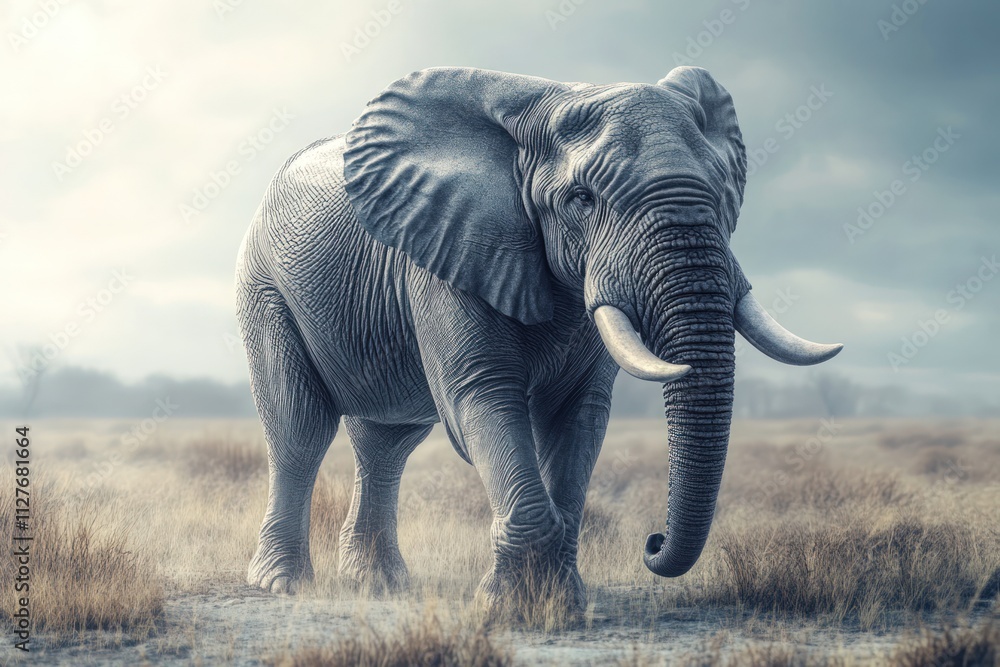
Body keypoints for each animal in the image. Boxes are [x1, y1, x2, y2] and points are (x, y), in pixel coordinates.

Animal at [235, 66, 842, 610]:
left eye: (722, 193)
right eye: (582, 199)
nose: (652, 543)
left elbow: (577, 414)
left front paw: (563, 602)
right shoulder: (450, 248)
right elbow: (483, 396)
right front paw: (511, 608)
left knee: (386, 442)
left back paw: (380, 585)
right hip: (264, 284)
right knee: (300, 427)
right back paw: (282, 585)